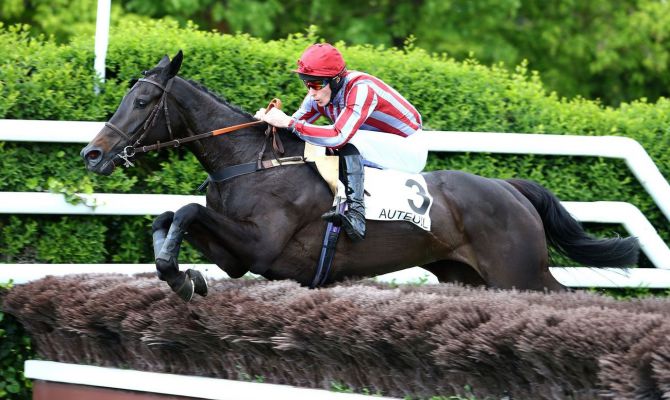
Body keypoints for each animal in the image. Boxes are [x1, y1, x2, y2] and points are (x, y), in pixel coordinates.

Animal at [80, 50, 640, 300]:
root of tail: (509, 188)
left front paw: (178, 274)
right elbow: (170, 215)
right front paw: (182, 275)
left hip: (520, 273)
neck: (252, 161)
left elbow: (187, 209)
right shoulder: (237, 257)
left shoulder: (260, 245)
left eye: (144, 101)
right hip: (471, 276)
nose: (92, 153)